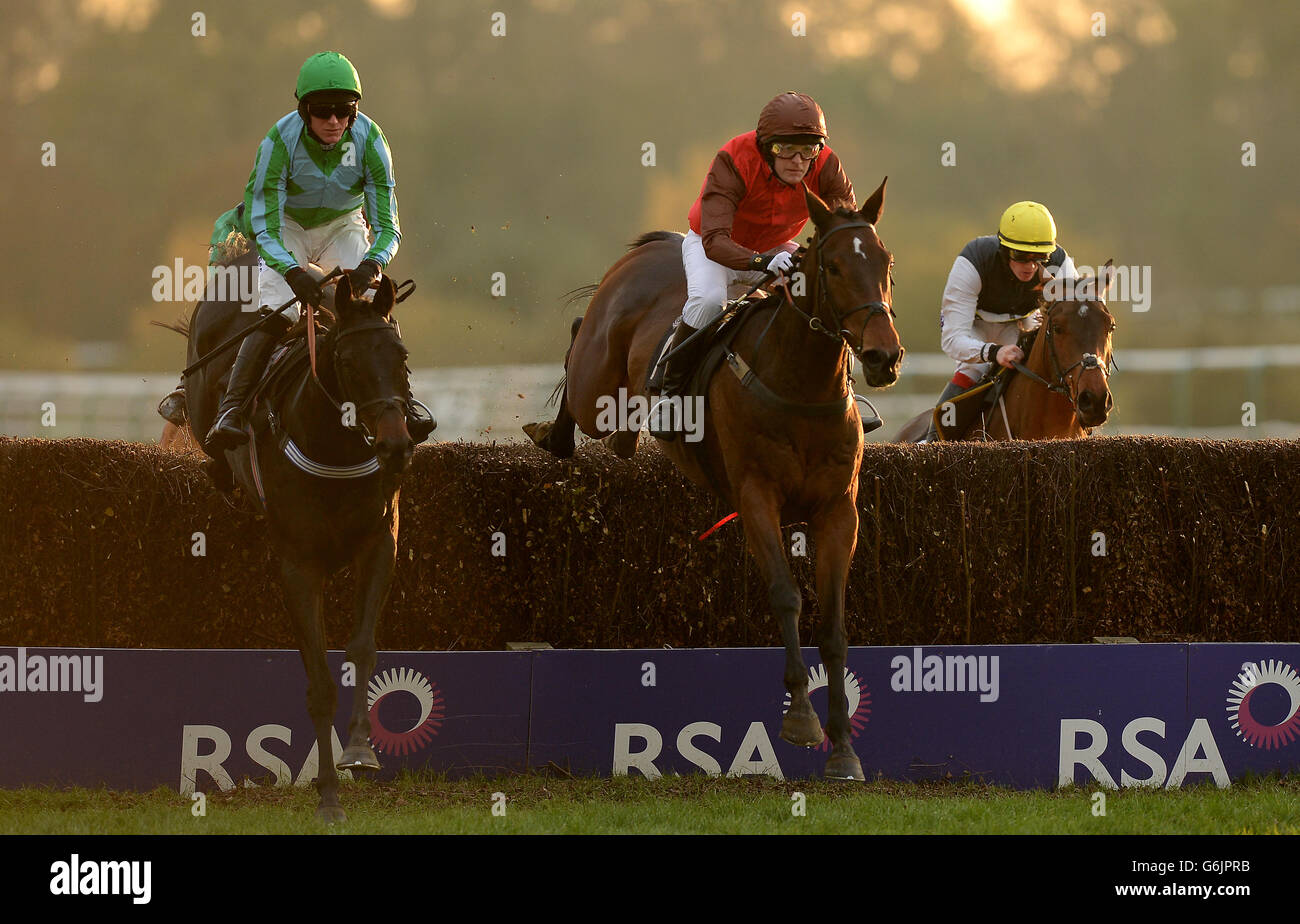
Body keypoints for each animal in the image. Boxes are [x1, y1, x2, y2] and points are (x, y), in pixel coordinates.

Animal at [184, 264, 416, 822]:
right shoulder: (297, 565)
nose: (396, 445)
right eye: (349, 362)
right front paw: (329, 795)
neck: (335, 447)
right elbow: (319, 685)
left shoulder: (379, 543)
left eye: (401, 357)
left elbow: (363, 648)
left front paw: (360, 749)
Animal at [524, 181, 902, 780]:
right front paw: (801, 718)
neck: (800, 383)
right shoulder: (756, 498)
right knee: (577, 357)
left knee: (622, 439)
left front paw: (843, 748)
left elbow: (835, 626)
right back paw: (552, 434)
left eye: (886, 262)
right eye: (836, 266)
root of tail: (653, 247)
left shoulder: (839, 510)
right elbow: (786, 595)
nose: (884, 355)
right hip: (594, 386)